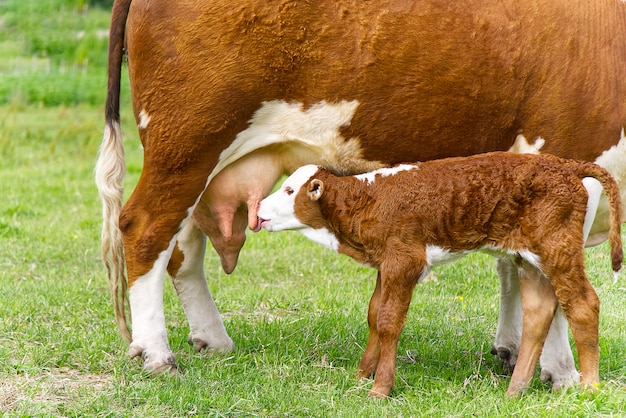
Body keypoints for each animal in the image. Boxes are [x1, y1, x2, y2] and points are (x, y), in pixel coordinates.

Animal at [254, 152, 620, 396]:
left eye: (289, 191)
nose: (257, 209)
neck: (368, 200)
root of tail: (566, 164)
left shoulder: (405, 261)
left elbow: (389, 320)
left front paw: (379, 389)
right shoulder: (386, 263)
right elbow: (374, 315)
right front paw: (360, 377)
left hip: (558, 249)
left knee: (583, 305)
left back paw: (589, 387)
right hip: (528, 259)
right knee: (537, 314)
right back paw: (514, 392)